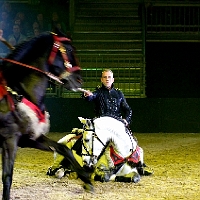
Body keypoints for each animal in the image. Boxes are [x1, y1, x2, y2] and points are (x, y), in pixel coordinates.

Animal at [0, 31, 93, 200]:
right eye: (69, 50)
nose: (79, 80)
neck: (19, 92)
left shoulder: (29, 138)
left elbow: (63, 148)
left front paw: (86, 178)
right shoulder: (9, 139)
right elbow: (7, 176)